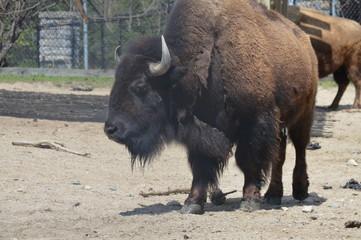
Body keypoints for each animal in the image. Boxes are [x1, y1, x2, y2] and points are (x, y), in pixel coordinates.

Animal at [105, 0, 318, 214]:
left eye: (141, 86)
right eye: (115, 82)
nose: (110, 129)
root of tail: (306, 42)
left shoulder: (255, 120)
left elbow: (248, 161)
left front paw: (250, 200)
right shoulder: (199, 130)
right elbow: (200, 166)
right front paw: (192, 203)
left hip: (304, 115)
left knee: (300, 148)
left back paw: (300, 191)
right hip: (281, 123)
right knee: (279, 154)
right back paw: (273, 195)